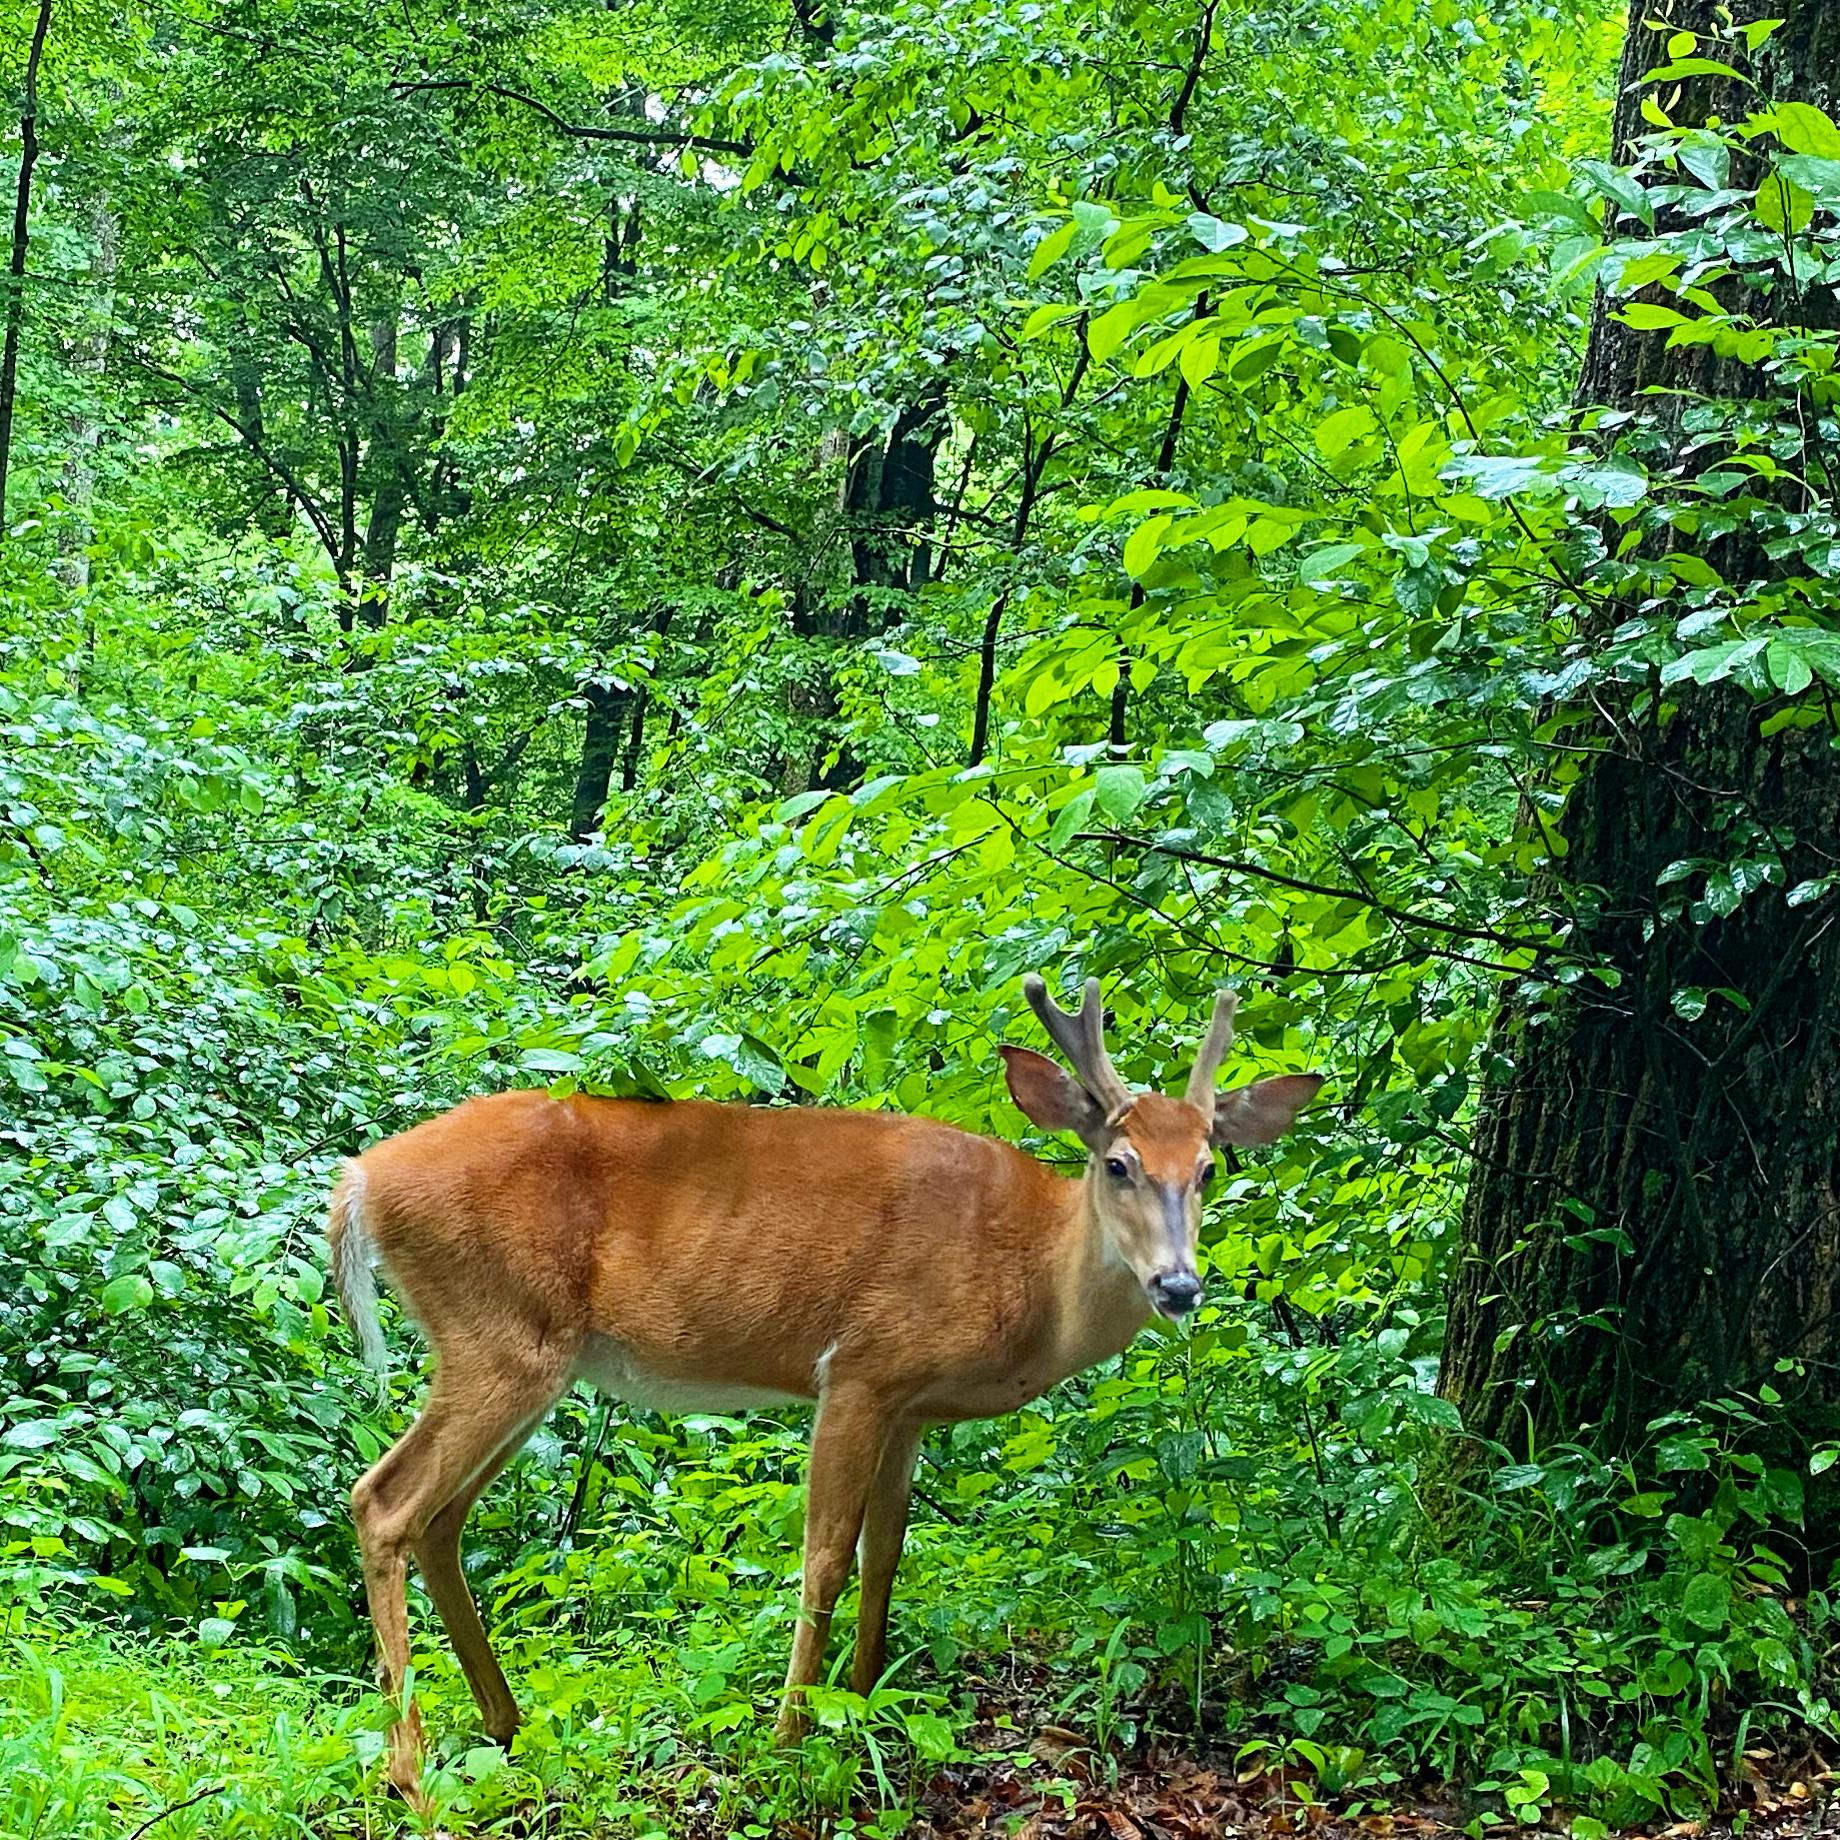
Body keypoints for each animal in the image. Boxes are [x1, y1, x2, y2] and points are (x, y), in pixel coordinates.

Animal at [327, 974, 1322, 1807]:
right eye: (1117, 1163)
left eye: (1209, 1167)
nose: (1179, 1285)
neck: (1026, 1270)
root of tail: (362, 1180)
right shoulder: (860, 1368)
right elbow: (825, 1558)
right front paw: (790, 1735)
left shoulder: (914, 1403)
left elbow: (887, 1553)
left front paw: (868, 1698)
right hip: (499, 1333)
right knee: (384, 1501)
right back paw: (411, 1776)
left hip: (523, 1354)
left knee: (442, 1519)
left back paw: (503, 1725)